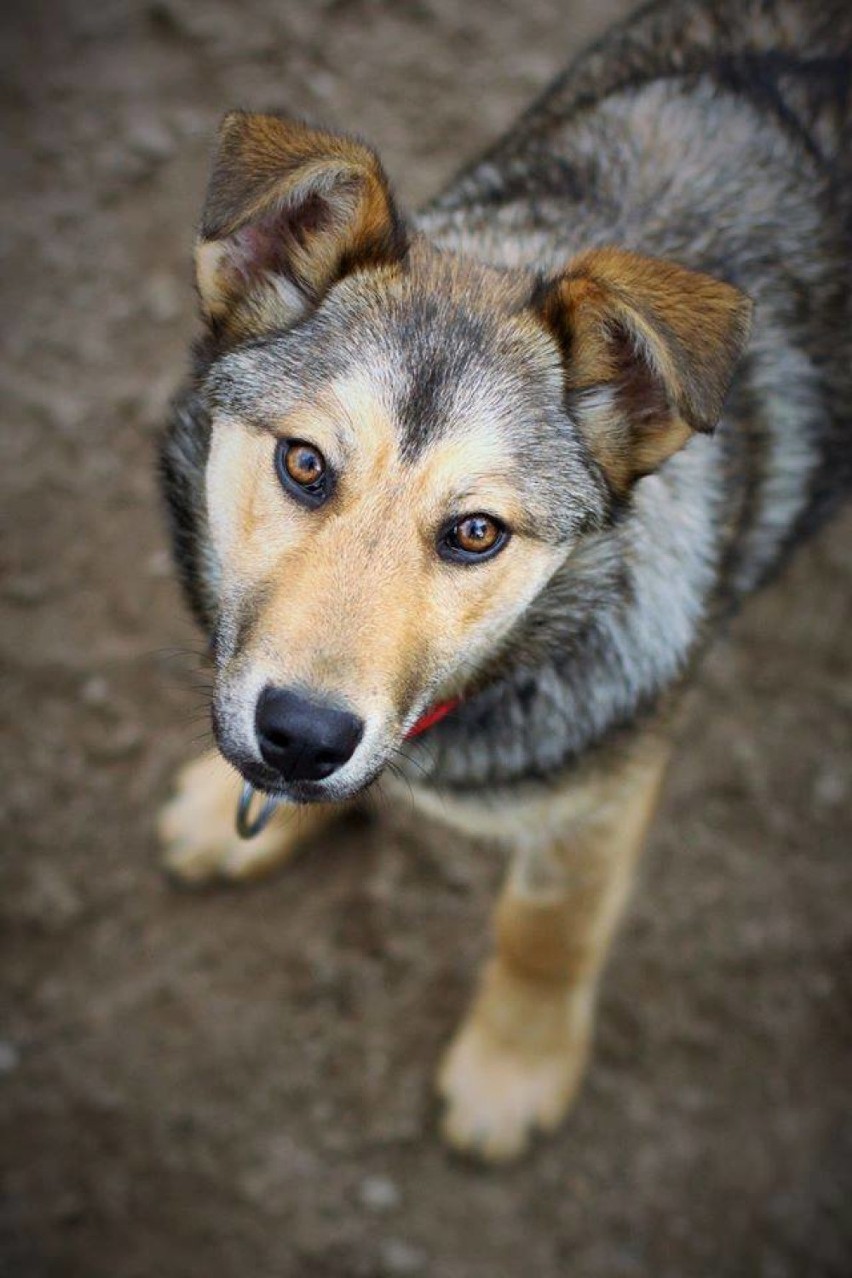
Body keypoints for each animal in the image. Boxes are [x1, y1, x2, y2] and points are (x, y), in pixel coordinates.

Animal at [156, 0, 848, 1165]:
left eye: (476, 532)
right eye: (305, 464)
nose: (300, 736)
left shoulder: (603, 796)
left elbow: (546, 929)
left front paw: (512, 1070)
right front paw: (239, 806)